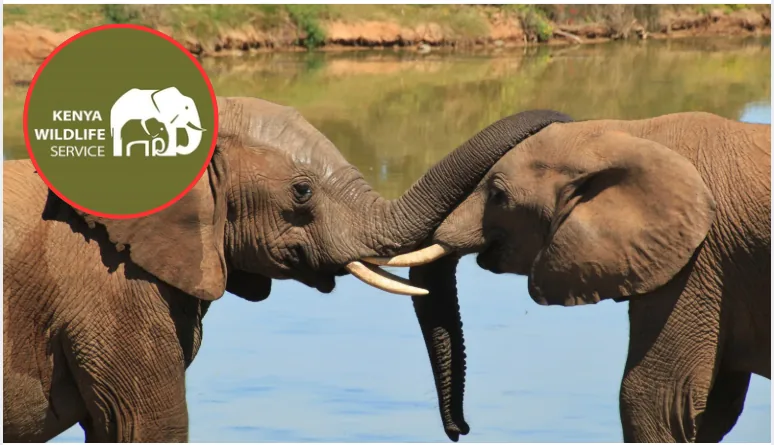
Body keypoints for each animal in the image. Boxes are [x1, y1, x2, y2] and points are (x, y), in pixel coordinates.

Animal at [366, 111, 771, 442]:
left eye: (497, 195)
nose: (461, 430)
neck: (631, 134)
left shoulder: (698, 264)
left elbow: (654, 400)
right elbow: (711, 409)